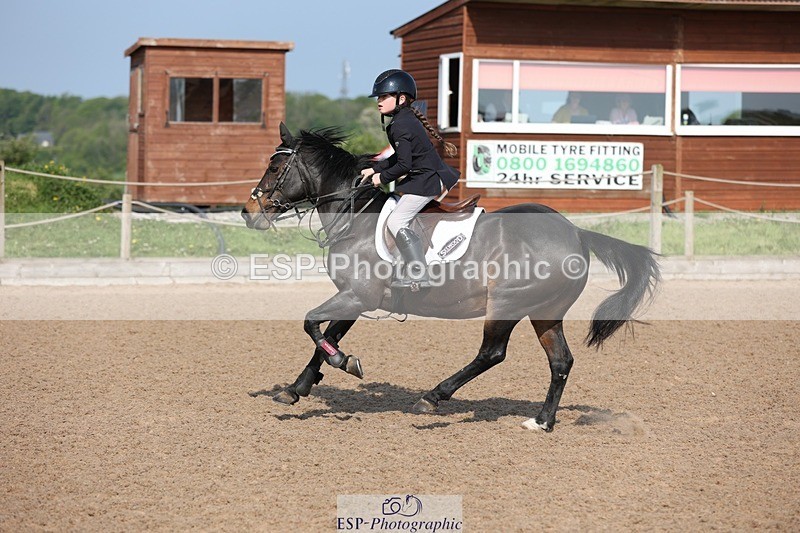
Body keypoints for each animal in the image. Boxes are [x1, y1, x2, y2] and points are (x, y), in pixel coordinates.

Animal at [241, 123, 660, 431]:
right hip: (545, 311)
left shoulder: (358, 295)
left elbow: (312, 324)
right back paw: (541, 422)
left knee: (492, 353)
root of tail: (576, 232)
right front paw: (296, 389)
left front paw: (347, 363)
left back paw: (432, 397)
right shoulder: (355, 298)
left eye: (275, 169)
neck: (353, 215)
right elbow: (324, 338)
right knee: (561, 362)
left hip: (506, 304)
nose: (248, 213)